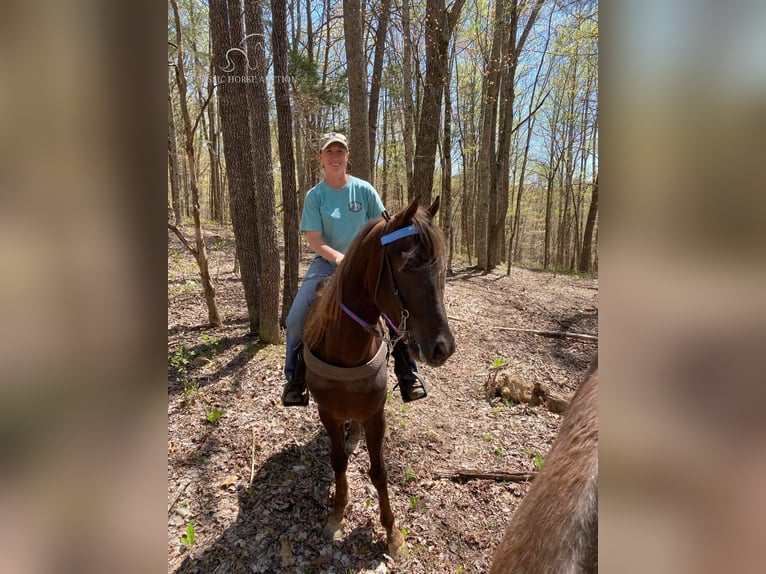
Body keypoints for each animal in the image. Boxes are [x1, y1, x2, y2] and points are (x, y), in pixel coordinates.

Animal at [302, 197, 456, 560]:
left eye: (440, 268)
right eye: (408, 267)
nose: (444, 347)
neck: (345, 348)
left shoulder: (375, 414)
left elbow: (379, 472)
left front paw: (392, 534)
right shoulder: (327, 414)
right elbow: (338, 462)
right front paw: (337, 514)